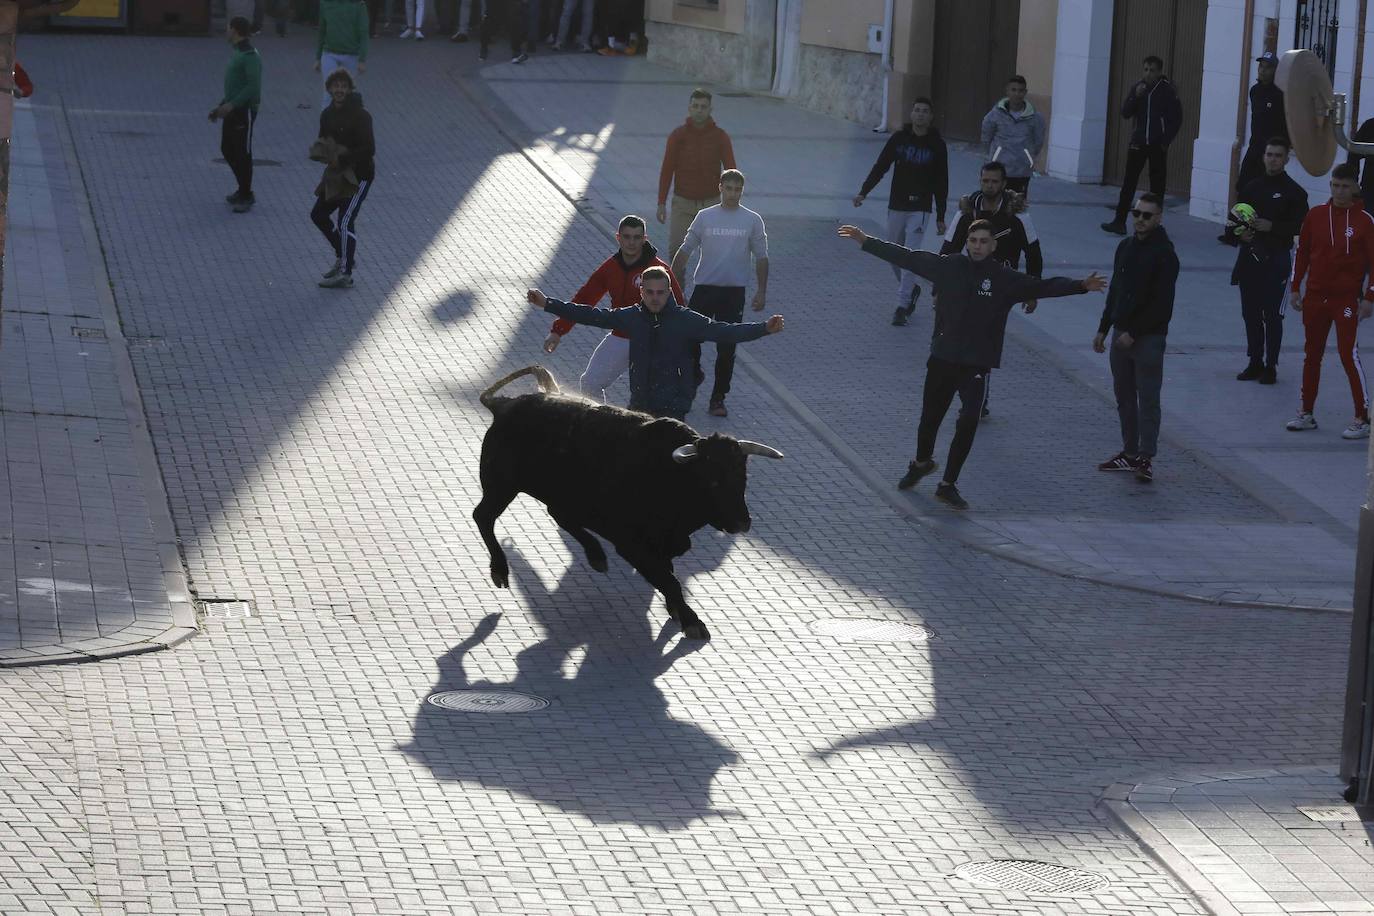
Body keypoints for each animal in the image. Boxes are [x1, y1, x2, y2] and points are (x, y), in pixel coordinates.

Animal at [472, 365, 780, 637]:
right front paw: (692, 622)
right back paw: (500, 570)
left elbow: (668, 577)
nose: (742, 523)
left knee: (559, 515)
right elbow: (670, 581)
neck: (670, 476)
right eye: (712, 480)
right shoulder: (633, 546)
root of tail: (503, 405)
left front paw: (677, 612)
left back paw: (596, 556)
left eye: (743, 476)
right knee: (483, 516)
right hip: (501, 486)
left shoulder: (663, 546)